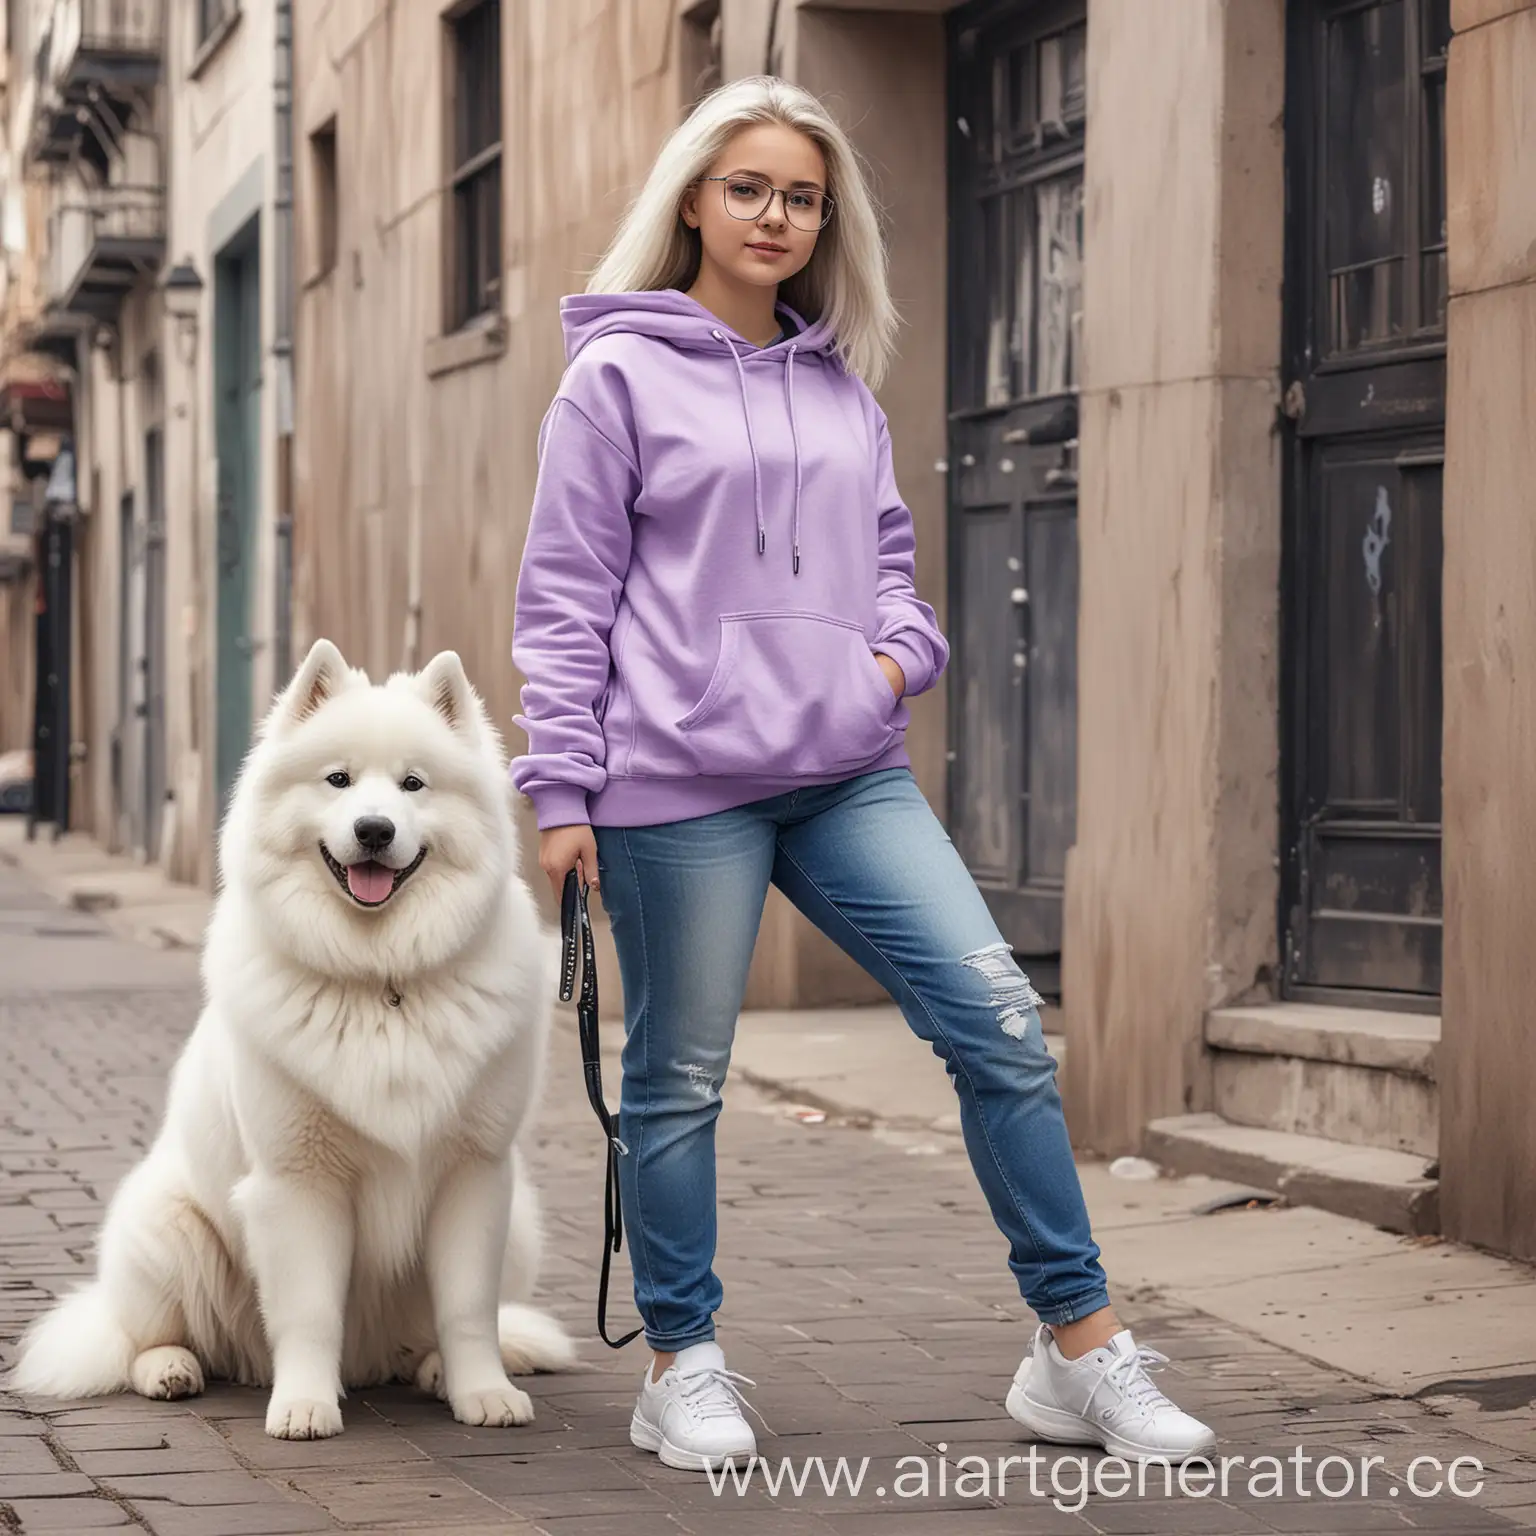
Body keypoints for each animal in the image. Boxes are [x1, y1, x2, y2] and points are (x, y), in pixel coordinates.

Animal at [9, 635, 574, 1437]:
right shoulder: (296, 1183)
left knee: (424, 1337)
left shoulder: (476, 1175)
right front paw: (304, 1406)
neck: (381, 981)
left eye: (413, 785)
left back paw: (431, 1370)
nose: (374, 830)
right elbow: (308, 1313)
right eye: (338, 780)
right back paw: (173, 1371)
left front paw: (483, 1394)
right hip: (164, 1228)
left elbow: (468, 1309)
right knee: (144, 1337)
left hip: (519, 1221)